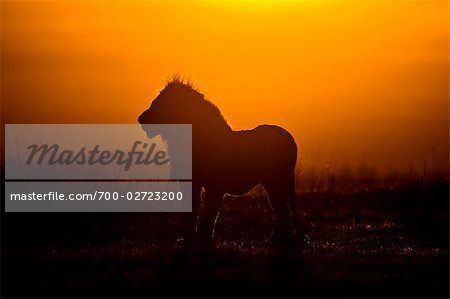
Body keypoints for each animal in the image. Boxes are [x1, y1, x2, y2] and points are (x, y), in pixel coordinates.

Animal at [139, 77, 300, 246]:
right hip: (272, 183)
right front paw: (188, 239)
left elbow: (210, 214)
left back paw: (280, 241)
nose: (140, 119)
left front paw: (204, 240)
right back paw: (277, 240)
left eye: (161, 103)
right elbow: (191, 212)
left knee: (283, 210)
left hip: (277, 180)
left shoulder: (215, 185)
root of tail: (291, 138)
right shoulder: (192, 183)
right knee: (281, 209)